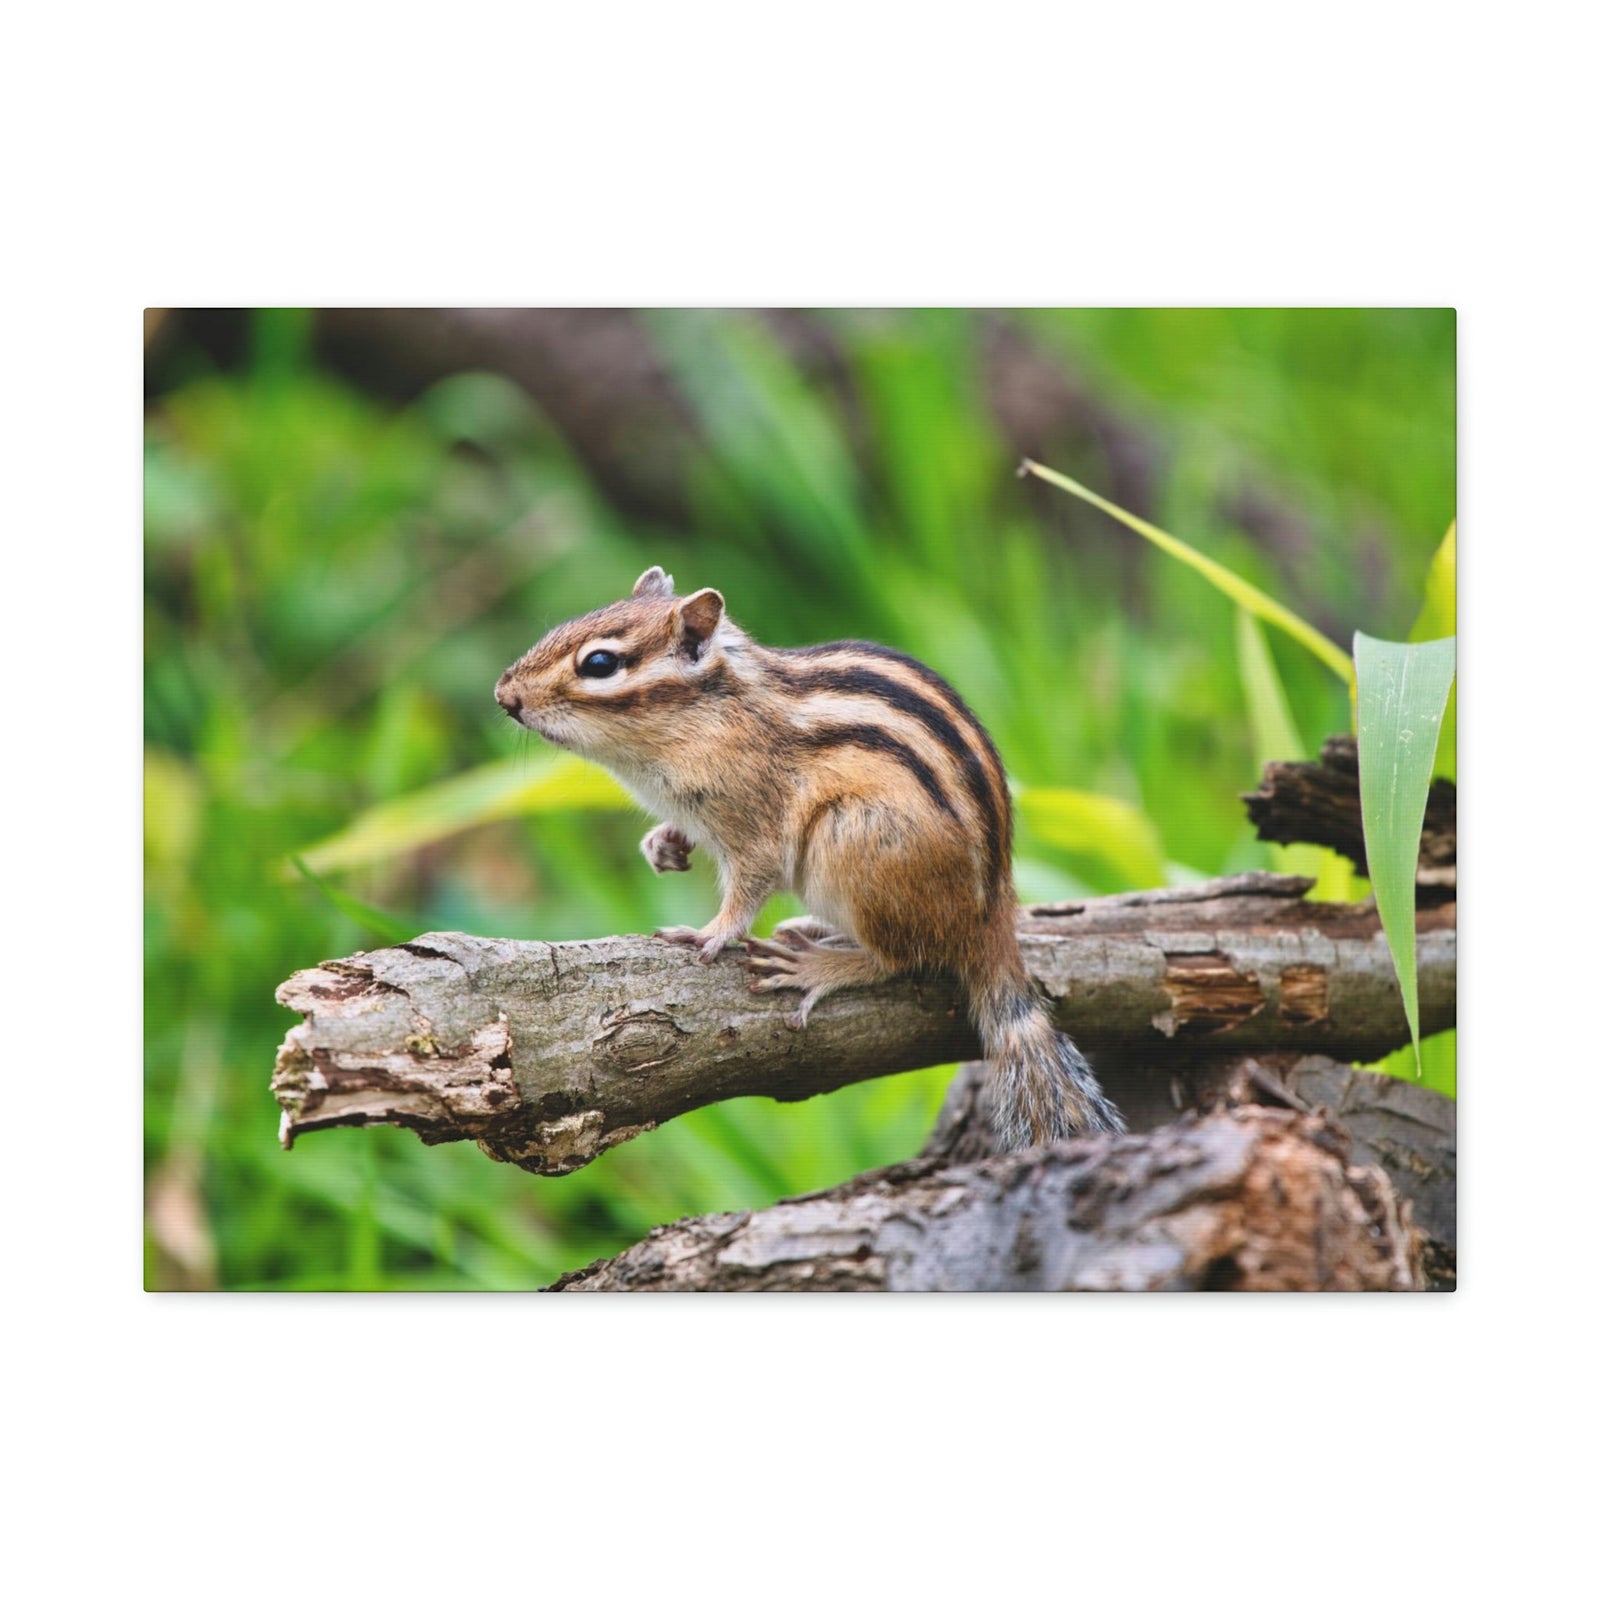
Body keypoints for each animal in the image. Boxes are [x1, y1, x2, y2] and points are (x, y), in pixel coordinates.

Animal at [495, 565, 1125, 1149]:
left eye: (599, 664)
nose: (504, 696)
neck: (708, 716)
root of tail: (991, 917)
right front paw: (663, 844)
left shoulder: (756, 823)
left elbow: (750, 885)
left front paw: (712, 933)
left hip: (851, 842)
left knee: (901, 958)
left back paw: (818, 966)